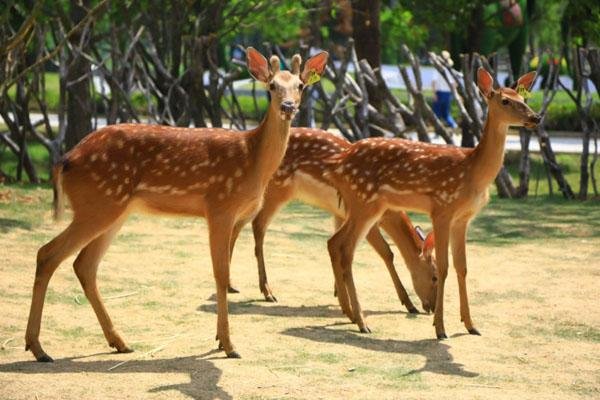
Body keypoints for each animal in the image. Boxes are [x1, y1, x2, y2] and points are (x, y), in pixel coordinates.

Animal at [23, 47, 328, 362]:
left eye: (300, 85)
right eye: (271, 86)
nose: (288, 106)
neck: (253, 160)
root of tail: (64, 160)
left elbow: (225, 271)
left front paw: (220, 340)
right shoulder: (219, 205)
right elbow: (221, 275)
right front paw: (228, 345)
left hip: (114, 209)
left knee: (84, 264)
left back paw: (119, 341)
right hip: (97, 204)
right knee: (47, 254)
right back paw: (39, 348)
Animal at [246, 126, 438, 314]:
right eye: (435, 276)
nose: (431, 307)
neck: (389, 211)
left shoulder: (341, 214)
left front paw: (337, 292)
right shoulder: (368, 220)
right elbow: (387, 253)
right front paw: (408, 304)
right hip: (279, 188)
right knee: (258, 225)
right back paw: (267, 292)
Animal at [326, 69, 540, 338]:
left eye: (524, 99)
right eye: (505, 101)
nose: (536, 117)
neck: (473, 173)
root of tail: (336, 164)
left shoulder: (463, 218)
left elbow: (462, 267)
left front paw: (471, 325)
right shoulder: (441, 209)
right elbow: (446, 266)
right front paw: (440, 329)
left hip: (363, 206)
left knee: (335, 242)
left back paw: (353, 315)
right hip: (364, 201)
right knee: (346, 249)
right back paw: (362, 322)